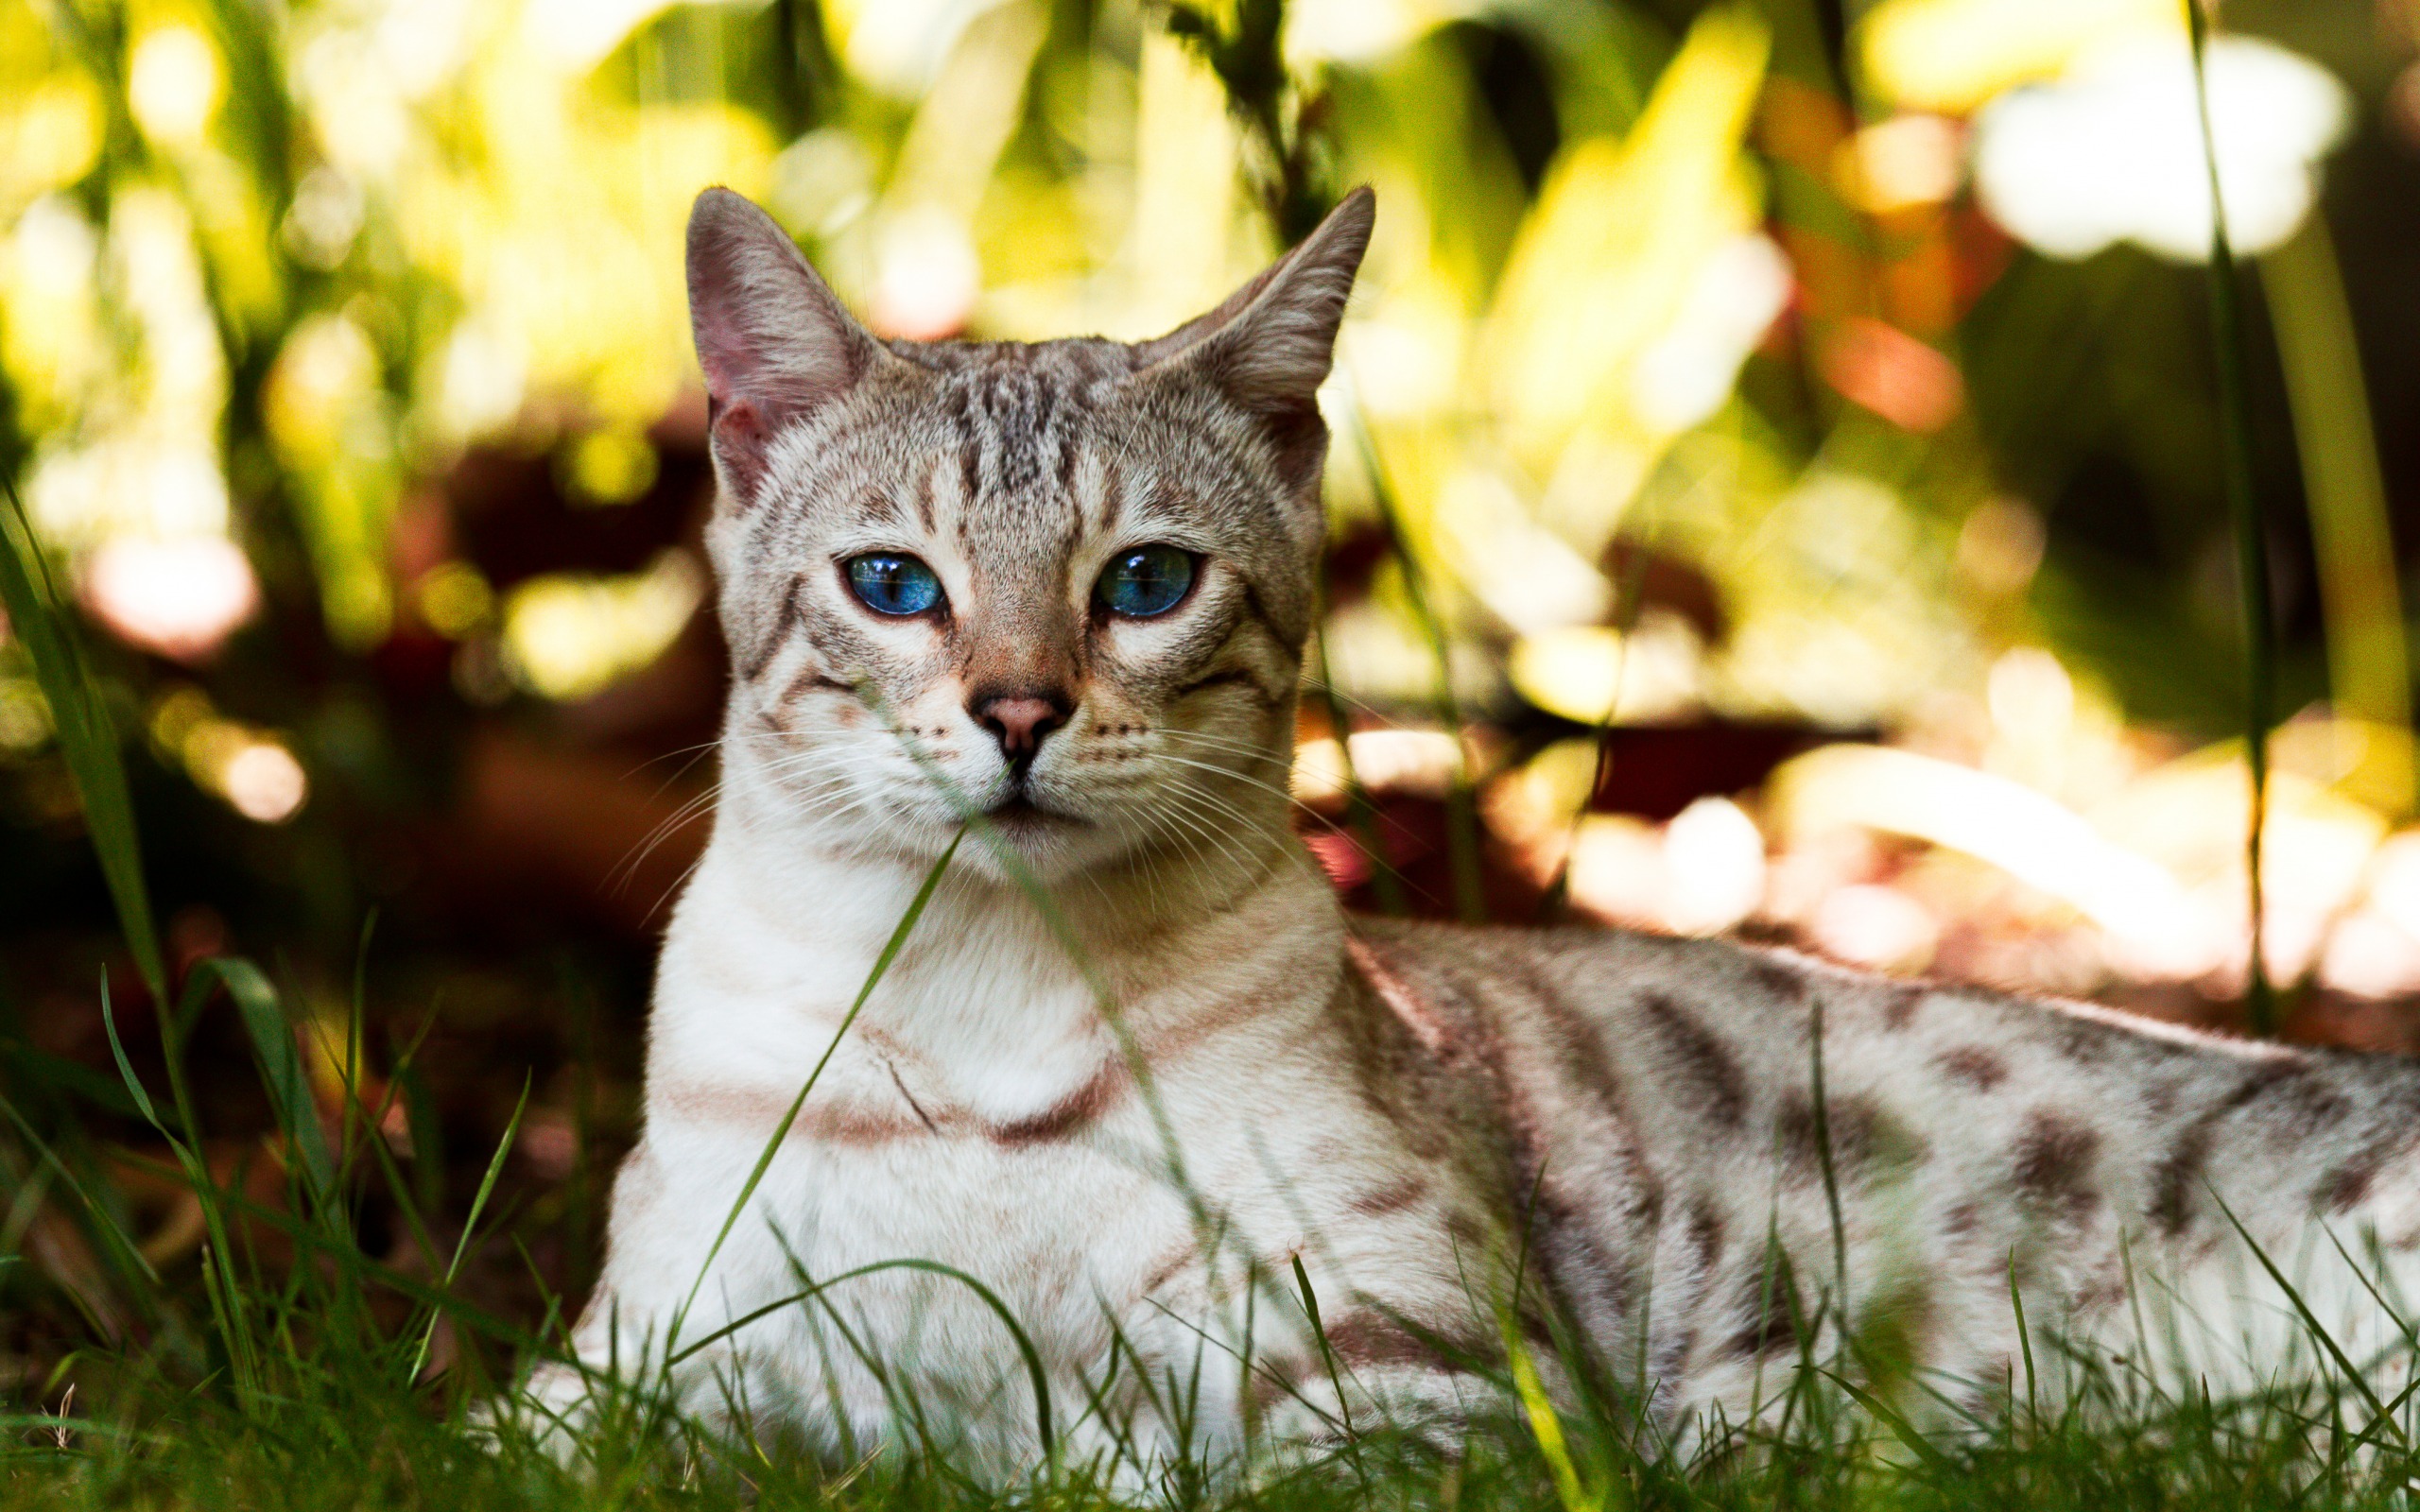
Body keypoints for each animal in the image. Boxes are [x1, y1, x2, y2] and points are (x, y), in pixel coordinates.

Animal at [520, 186, 2420, 1470]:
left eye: (1144, 584)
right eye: (894, 585)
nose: (1016, 712)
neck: (975, 1020)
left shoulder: (1411, 1368)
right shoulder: (640, 1363)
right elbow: (520, 1438)